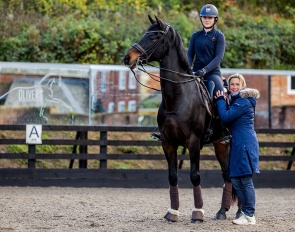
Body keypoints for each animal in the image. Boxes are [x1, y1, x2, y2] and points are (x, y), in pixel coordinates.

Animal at [124, 15, 236, 222]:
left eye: (153, 37)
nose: (128, 57)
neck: (178, 98)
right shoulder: (168, 143)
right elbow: (173, 176)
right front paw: (172, 212)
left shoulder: (193, 143)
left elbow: (194, 176)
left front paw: (198, 213)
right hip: (219, 143)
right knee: (227, 174)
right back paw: (222, 211)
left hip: (226, 142)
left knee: (229, 174)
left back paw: (227, 212)